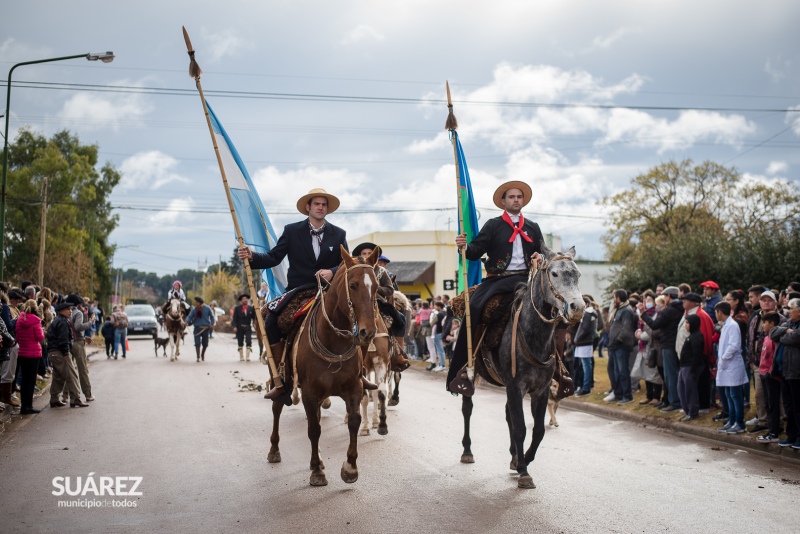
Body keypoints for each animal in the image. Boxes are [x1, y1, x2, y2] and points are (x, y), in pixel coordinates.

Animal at [268, 247, 380, 490]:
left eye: (376, 286)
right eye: (353, 285)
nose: (367, 331)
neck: (334, 342)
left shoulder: (354, 388)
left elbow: (354, 421)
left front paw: (350, 468)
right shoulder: (310, 392)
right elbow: (314, 429)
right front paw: (317, 472)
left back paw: (317, 458)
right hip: (279, 379)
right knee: (277, 407)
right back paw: (274, 450)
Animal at [460, 246, 584, 490]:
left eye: (577, 274)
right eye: (554, 274)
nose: (578, 309)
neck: (533, 335)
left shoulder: (540, 389)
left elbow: (537, 430)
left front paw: (523, 460)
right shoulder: (516, 386)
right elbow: (520, 428)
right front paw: (524, 471)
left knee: (508, 414)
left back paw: (513, 456)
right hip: (473, 374)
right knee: (467, 408)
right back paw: (467, 451)